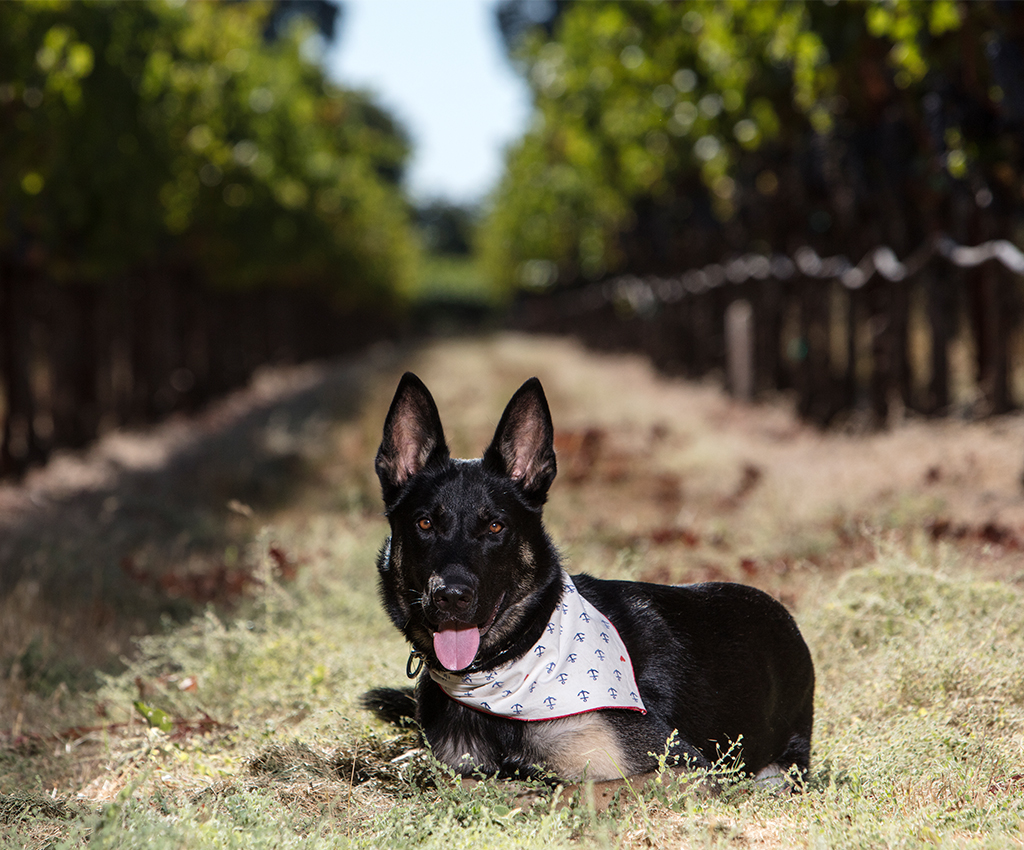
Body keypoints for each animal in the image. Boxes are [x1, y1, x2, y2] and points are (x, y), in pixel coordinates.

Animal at [364, 372, 811, 786]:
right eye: (424, 523)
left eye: (495, 526)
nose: (451, 597)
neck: (515, 659)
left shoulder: (680, 768)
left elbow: (574, 791)